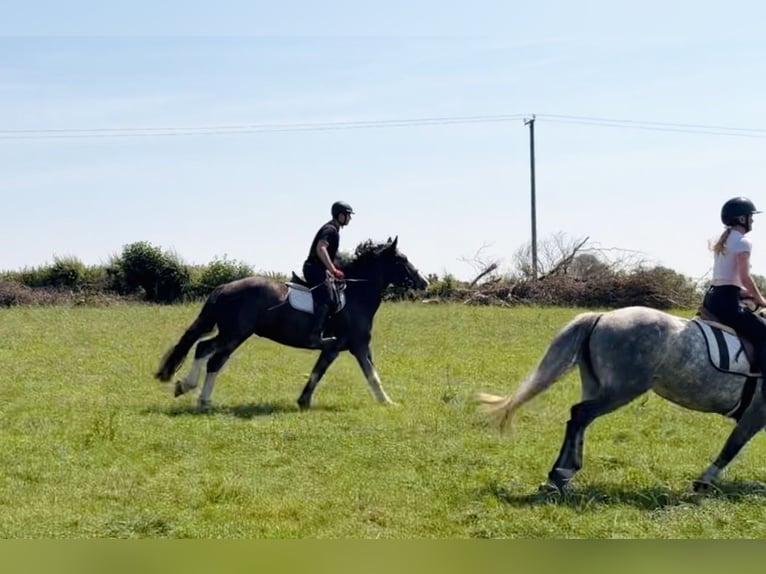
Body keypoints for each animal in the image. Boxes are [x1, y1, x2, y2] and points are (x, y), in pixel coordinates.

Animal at [155, 237, 428, 410]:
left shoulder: (335, 348)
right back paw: (190, 388)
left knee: (211, 357)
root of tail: (224, 288)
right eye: (402, 259)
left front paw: (303, 401)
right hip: (235, 333)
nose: (424, 282)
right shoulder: (357, 345)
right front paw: (387, 402)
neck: (356, 294)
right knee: (207, 351)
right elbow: (372, 374)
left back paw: (201, 399)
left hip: (234, 334)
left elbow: (320, 371)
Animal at [478, 305, 766, 494]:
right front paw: (703, 482)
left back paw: (562, 475)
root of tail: (603, 316)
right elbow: (732, 446)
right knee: (580, 415)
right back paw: (559, 475)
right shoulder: (755, 416)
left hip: (598, 387)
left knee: (579, 421)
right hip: (621, 391)